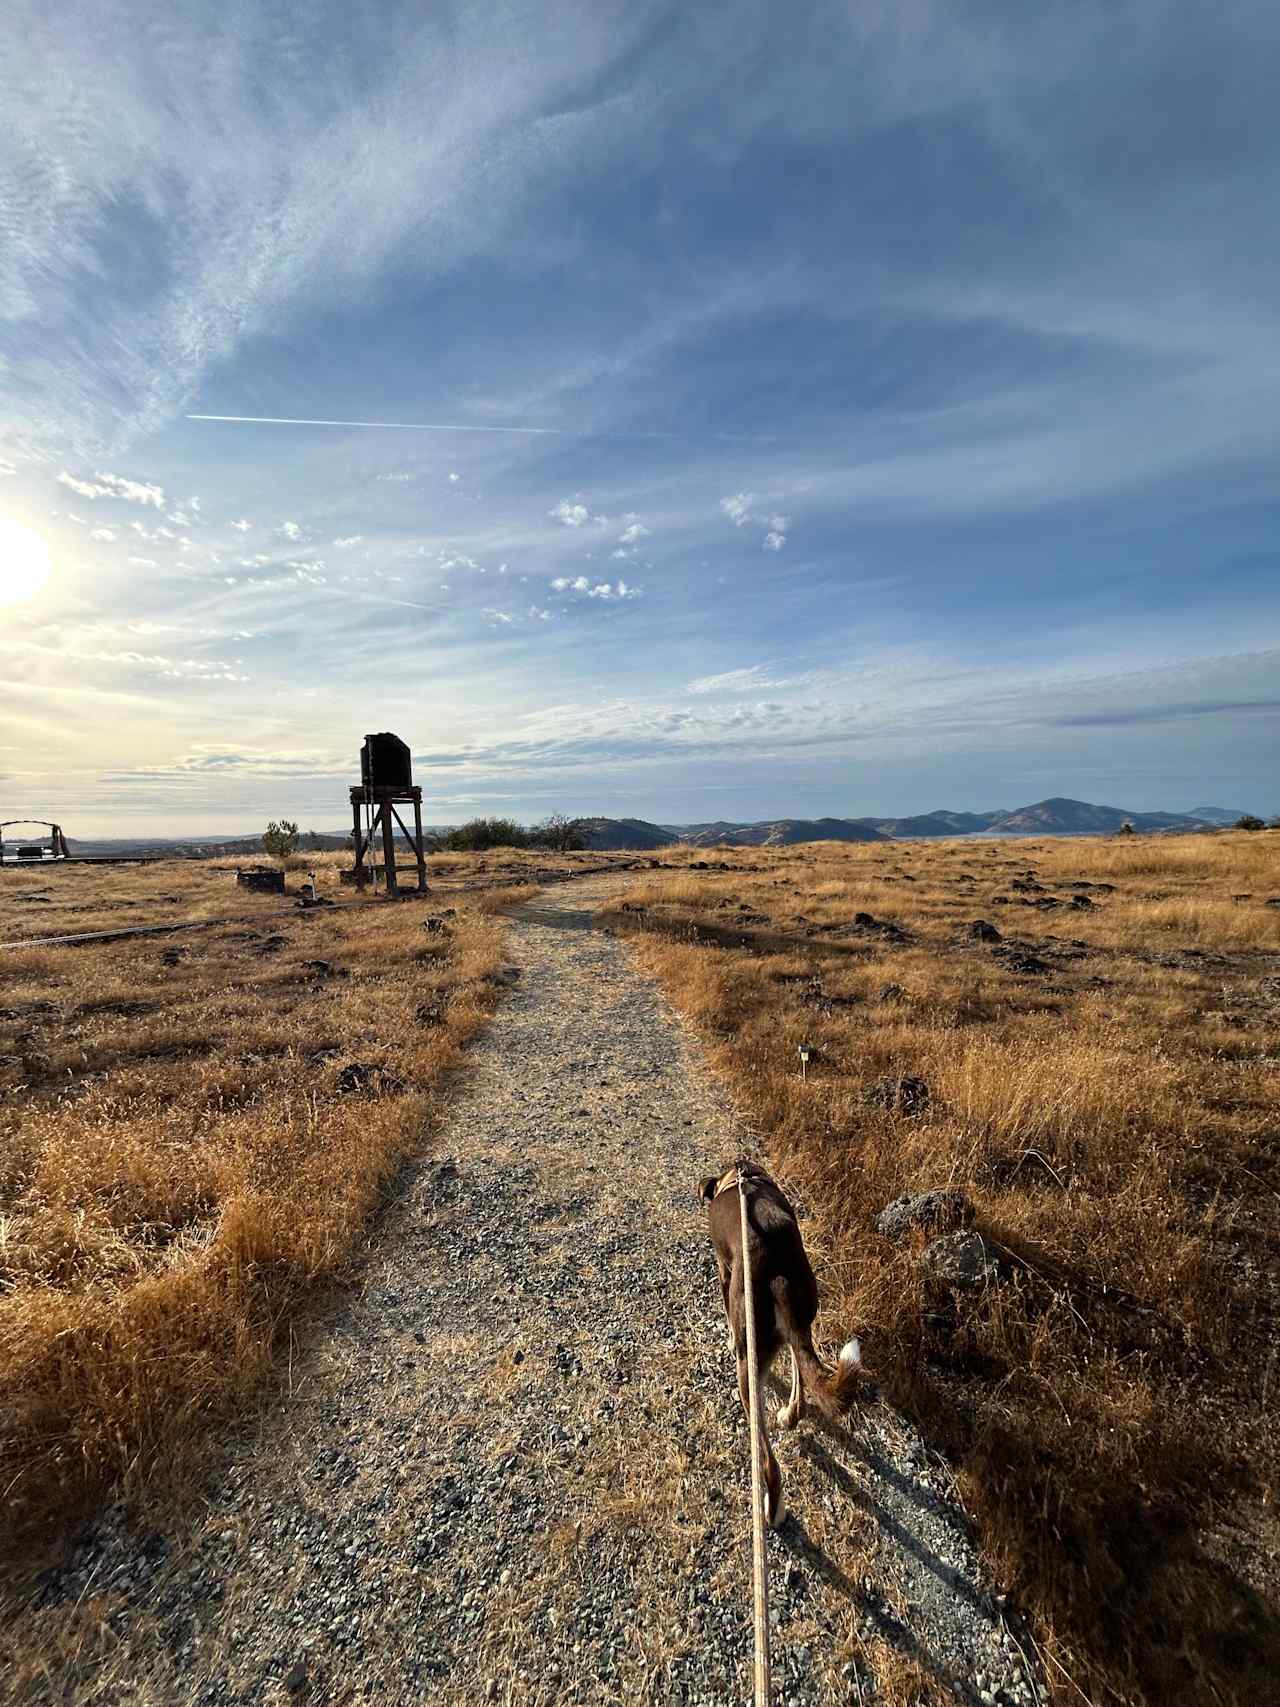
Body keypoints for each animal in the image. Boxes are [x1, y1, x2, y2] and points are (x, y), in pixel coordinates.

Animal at [703, 1153, 863, 1529]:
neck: (739, 1177)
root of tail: (776, 1269)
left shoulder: (723, 1272)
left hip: (749, 1367)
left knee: (768, 1462)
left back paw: (772, 1509)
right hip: (802, 1318)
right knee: (800, 1367)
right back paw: (790, 1414)